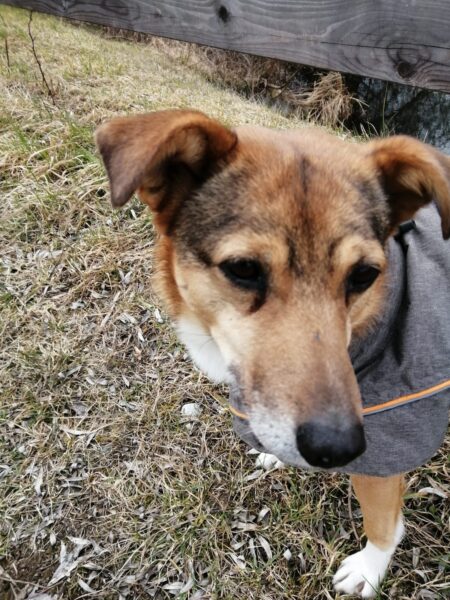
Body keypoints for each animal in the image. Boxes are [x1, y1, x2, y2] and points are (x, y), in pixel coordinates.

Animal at [95, 110, 450, 598]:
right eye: (244, 269)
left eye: (364, 275)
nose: (338, 448)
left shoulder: (386, 456)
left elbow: (383, 526)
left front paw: (367, 571)